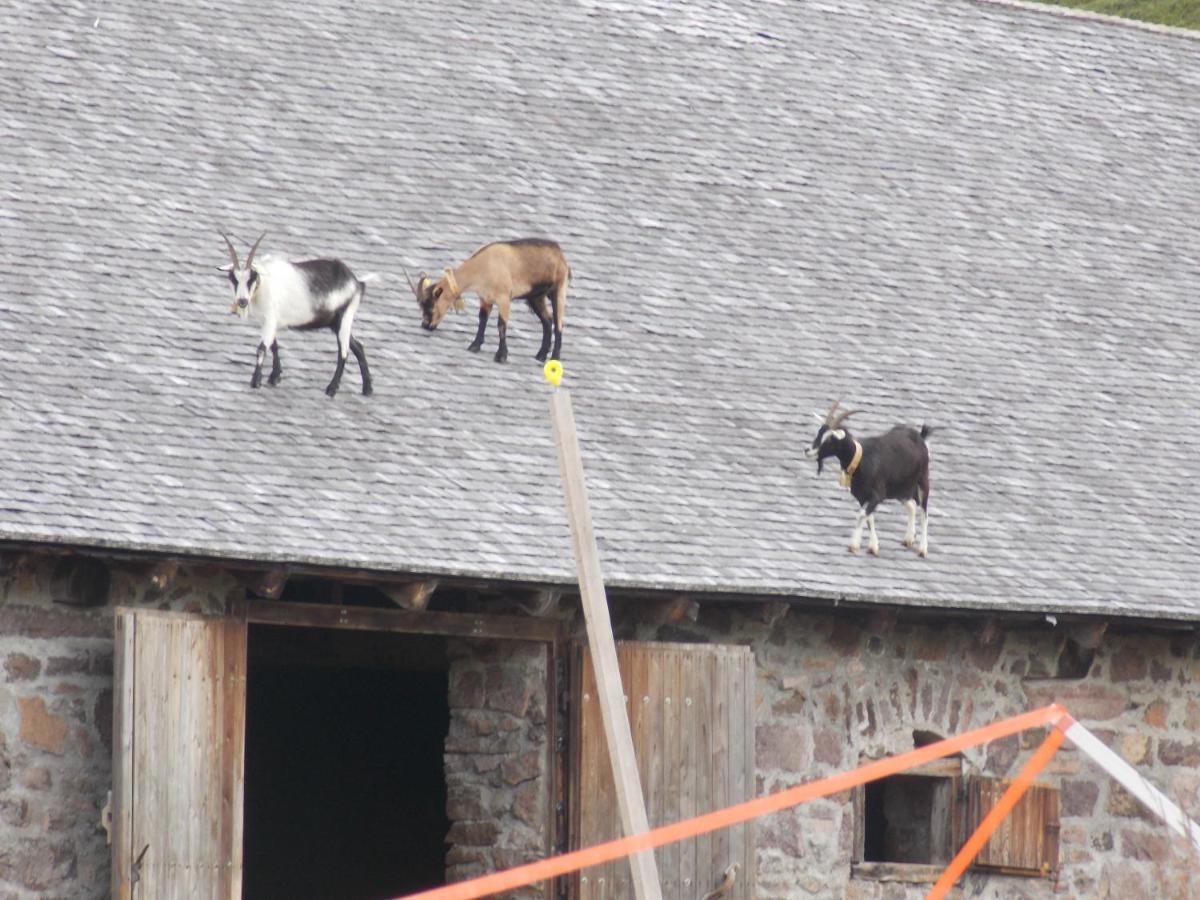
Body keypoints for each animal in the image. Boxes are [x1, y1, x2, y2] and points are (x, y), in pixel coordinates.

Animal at [220, 234, 374, 396]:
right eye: (233, 278)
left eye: (252, 278)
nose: (242, 301)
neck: (264, 284)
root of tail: (357, 283)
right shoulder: (267, 321)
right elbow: (273, 345)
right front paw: (275, 377)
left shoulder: (270, 318)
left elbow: (262, 348)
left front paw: (255, 382)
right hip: (335, 323)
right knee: (358, 346)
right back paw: (367, 388)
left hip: (345, 316)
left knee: (343, 351)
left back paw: (331, 389)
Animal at [405, 243, 568, 367]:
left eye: (431, 305)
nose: (426, 325)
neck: (484, 264)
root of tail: (560, 253)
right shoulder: (485, 298)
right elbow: (482, 319)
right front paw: (474, 346)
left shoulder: (504, 297)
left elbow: (501, 324)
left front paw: (501, 356)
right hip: (536, 297)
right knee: (547, 320)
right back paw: (540, 355)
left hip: (559, 287)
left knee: (558, 322)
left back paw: (554, 358)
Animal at [806, 400, 936, 556]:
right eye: (819, 432)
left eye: (830, 440)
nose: (808, 451)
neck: (860, 459)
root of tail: (920, 437)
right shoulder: (863, 497)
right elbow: (869, 518)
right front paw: (873, 546)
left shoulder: (877, 495)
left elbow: (862, 515)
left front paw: (853, 545)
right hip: (899, 488)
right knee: (911, 505)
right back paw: (908, 539)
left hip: (923, 480)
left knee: (924, 511)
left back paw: (923, 549)